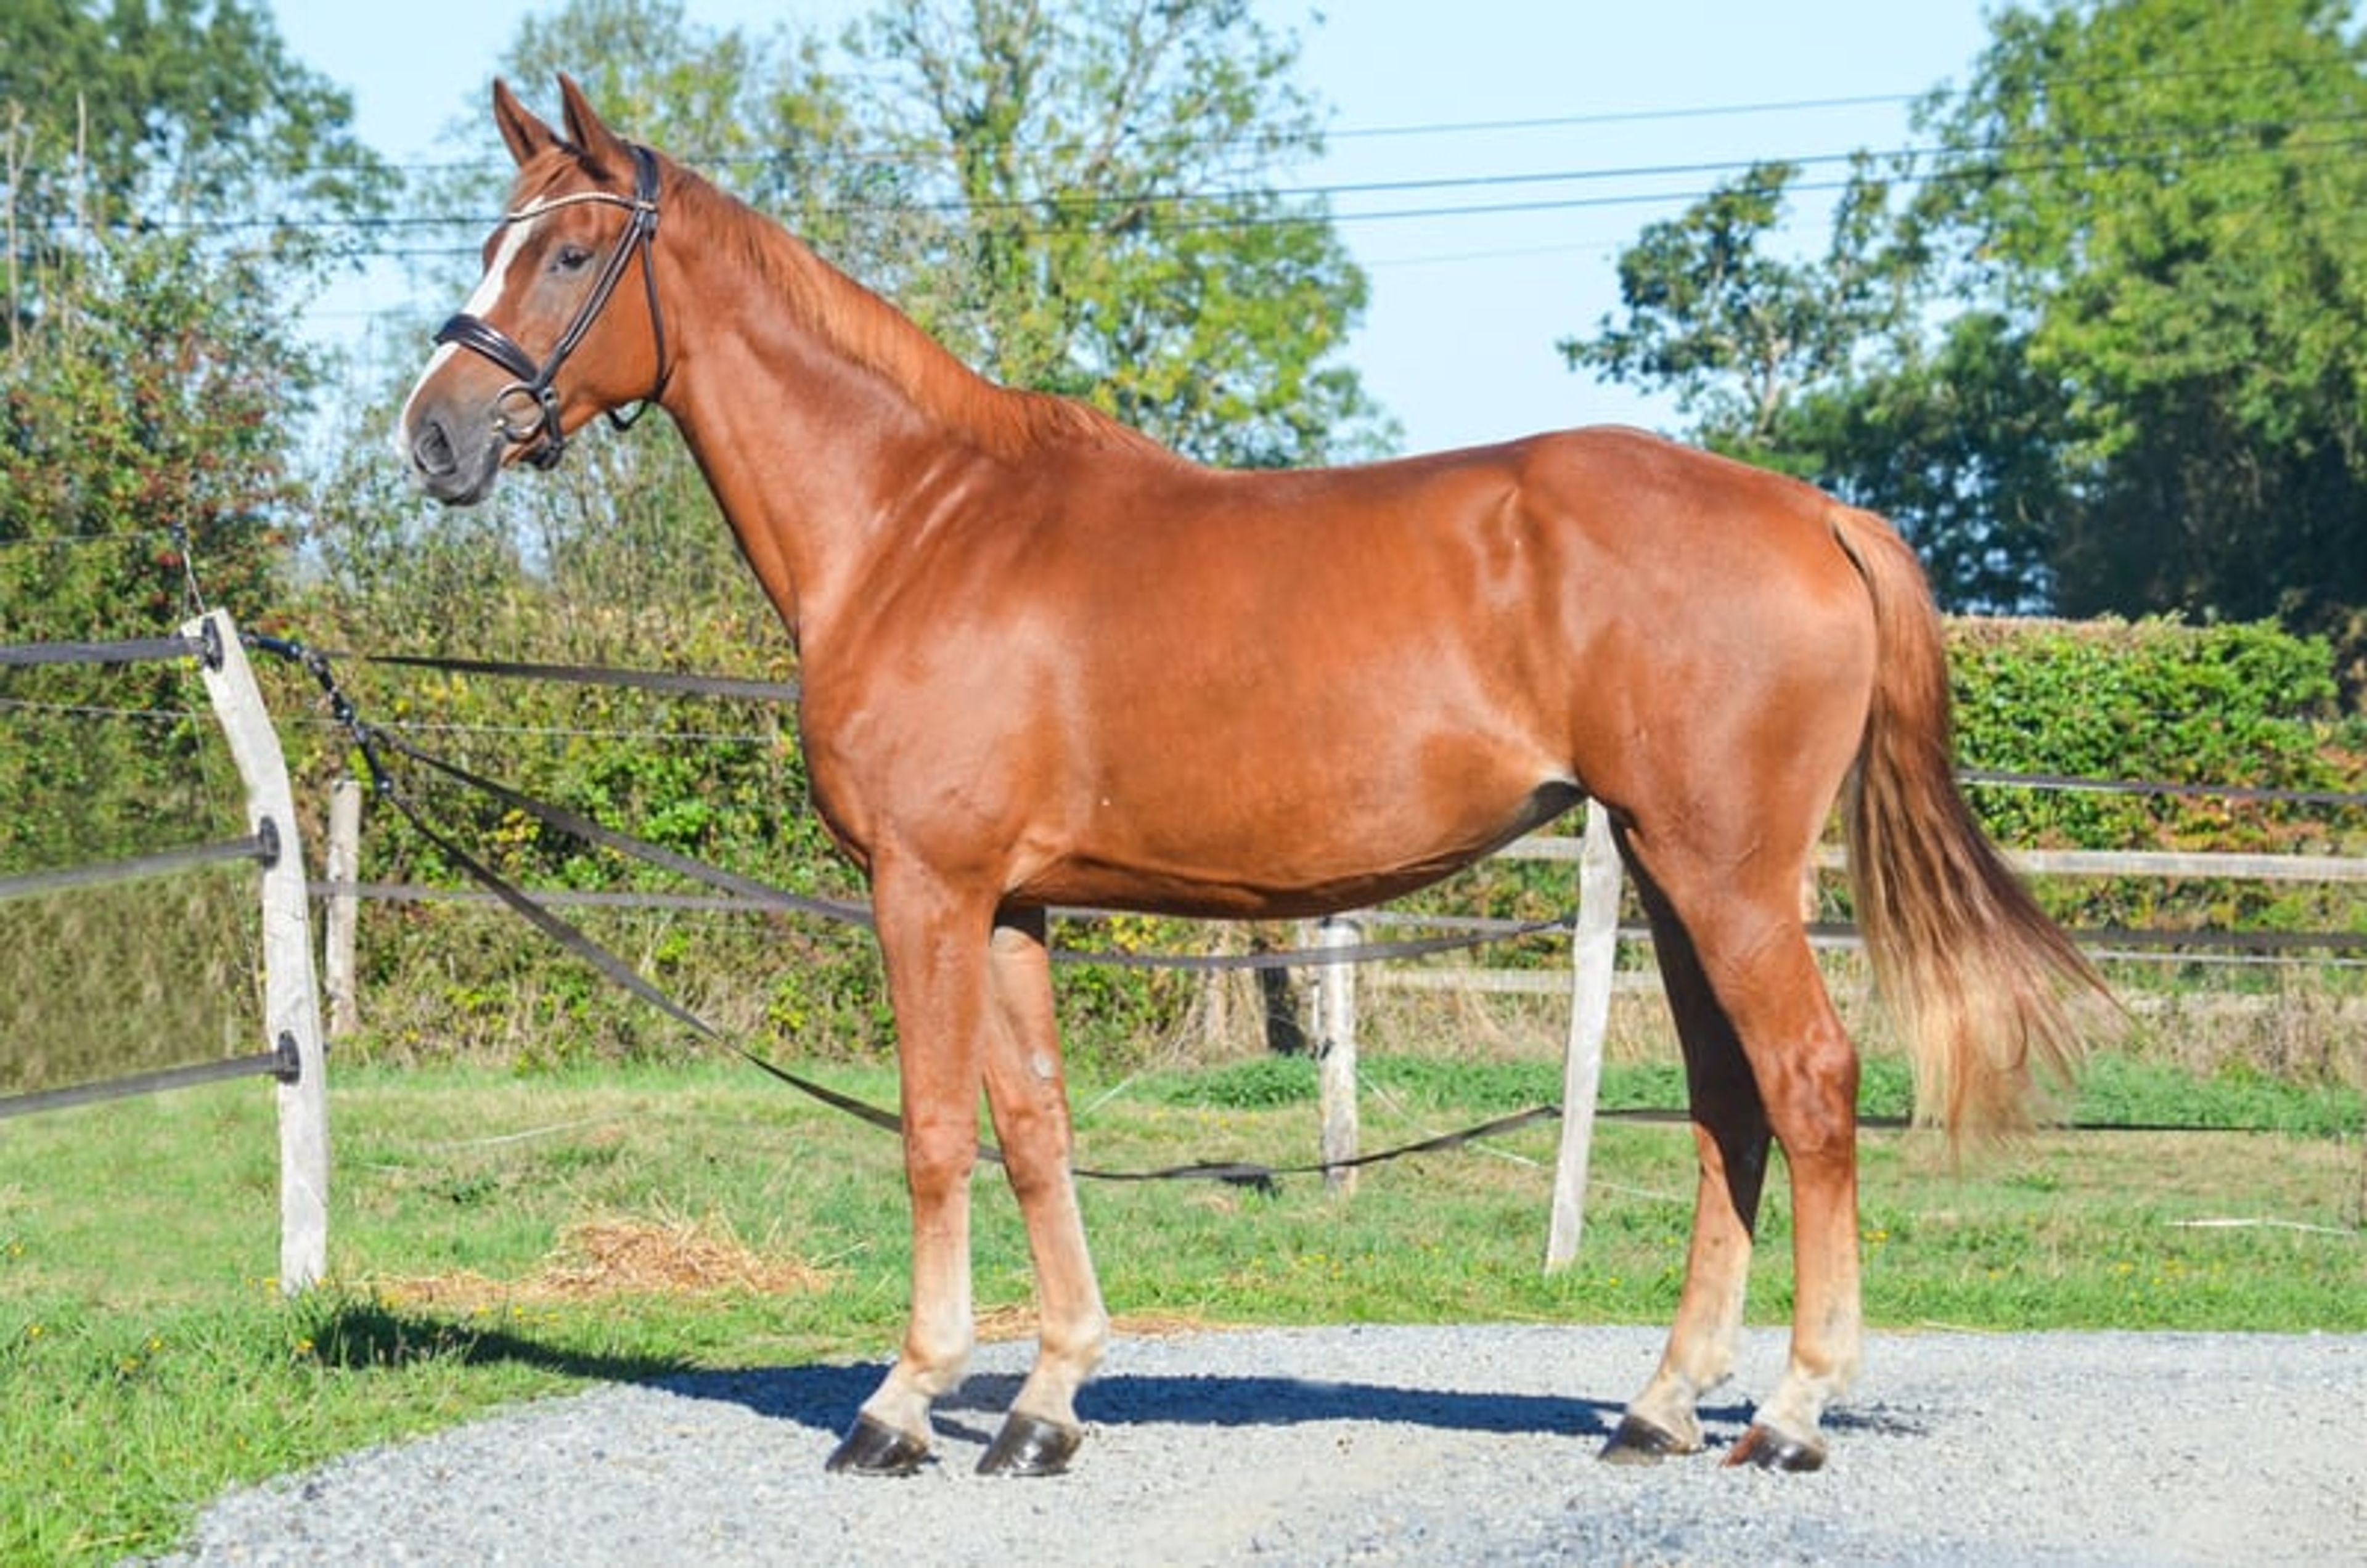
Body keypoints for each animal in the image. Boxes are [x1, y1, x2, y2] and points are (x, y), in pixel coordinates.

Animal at [399, 75, 2103, 1478]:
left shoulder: (924, 886)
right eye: (492, 240)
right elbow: (1035, 1128)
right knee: (1726, 1108)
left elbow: (936, 1130)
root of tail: (1808, 511)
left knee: (1808, 1087)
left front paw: (900, 1403)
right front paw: (1042, 1405)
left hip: (1723, 870)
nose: (435, 437)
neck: (917, 523)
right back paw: (1660, 1404)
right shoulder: (1008, 903)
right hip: (1679, 875)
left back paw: (1798, 1410)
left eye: (567, 255)